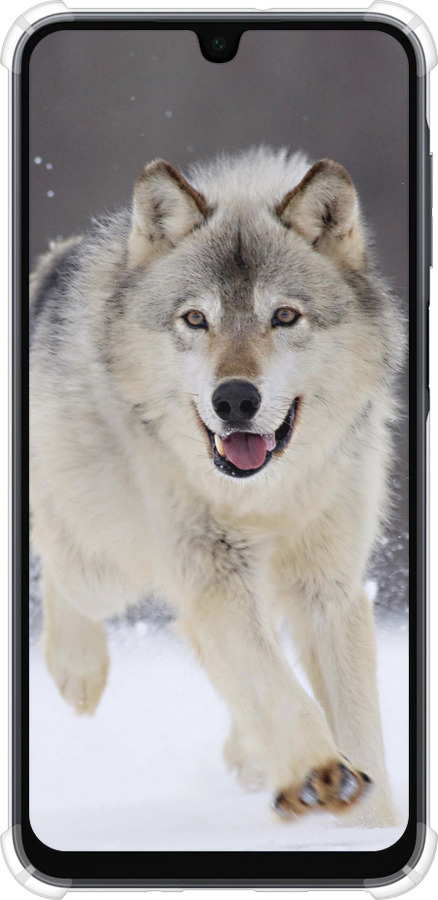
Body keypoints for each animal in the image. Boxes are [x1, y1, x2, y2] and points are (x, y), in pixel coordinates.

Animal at [30, 147, 404, 826]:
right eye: (196, 320)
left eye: (284, 316)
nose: (234, 399)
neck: (264, 497)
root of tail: (55, 262)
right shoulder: (214, 573)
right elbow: (276, 687)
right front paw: (318, 773)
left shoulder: (328, 587)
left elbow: (358, 724)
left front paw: (370, 823)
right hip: (107, 566)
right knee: (57, 556)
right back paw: (78, 669)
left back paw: (250, 756)